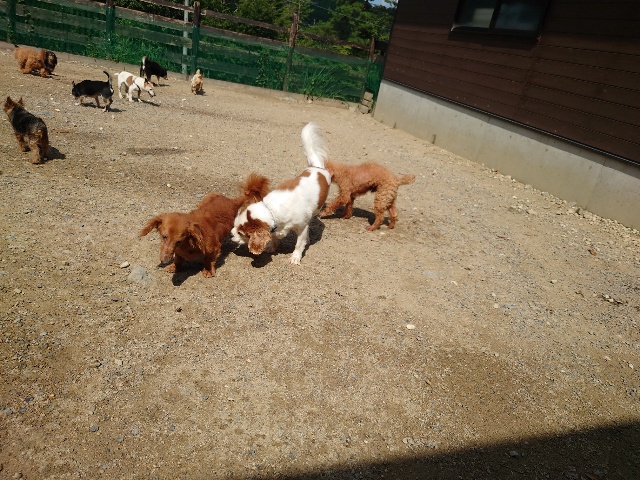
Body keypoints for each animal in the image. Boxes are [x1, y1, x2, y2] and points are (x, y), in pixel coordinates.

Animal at [140, 173, 270, 278]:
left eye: (178, 241)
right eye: (164, 237)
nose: (164, 261)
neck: (189, 243)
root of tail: (232, 201)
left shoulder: (214, 248)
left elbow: (208, 259)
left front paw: (208, 270)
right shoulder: (178, 252)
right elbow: (178, 259)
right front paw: (174, 267)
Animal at [231, 122, 331, 265]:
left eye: (240, 233)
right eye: (234, 226)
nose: (230, 234)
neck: (271, 210)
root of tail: (317, 167)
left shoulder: (301, 227)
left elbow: (299, 243)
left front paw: (295, 257)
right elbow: (274, 237)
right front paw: (272, 246)